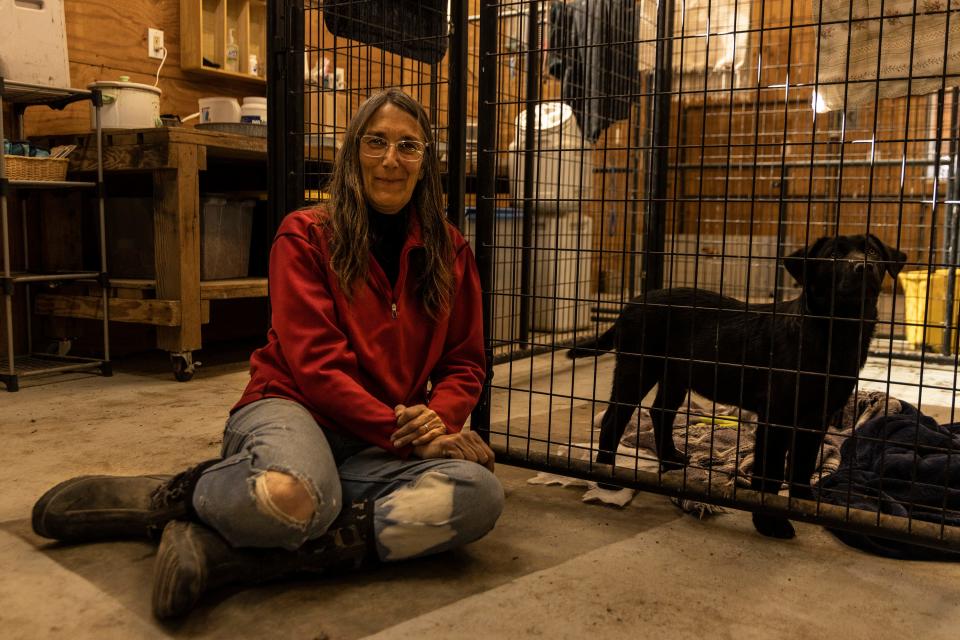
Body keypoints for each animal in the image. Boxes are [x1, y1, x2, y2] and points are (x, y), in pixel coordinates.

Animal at [568, 232, 908, 536]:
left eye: (872, 252)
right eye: (834, 256)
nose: (863, 266)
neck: (835, 333)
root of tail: (631, 304)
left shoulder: (817, 417)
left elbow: (802, 466)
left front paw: (806, 505)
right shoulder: (777, 416)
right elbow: (770, 473)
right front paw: (770, 522)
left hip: (676, 375)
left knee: (660, 412)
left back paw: (671, 460)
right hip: (636, 368)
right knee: (614, 419)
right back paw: (606, 477)